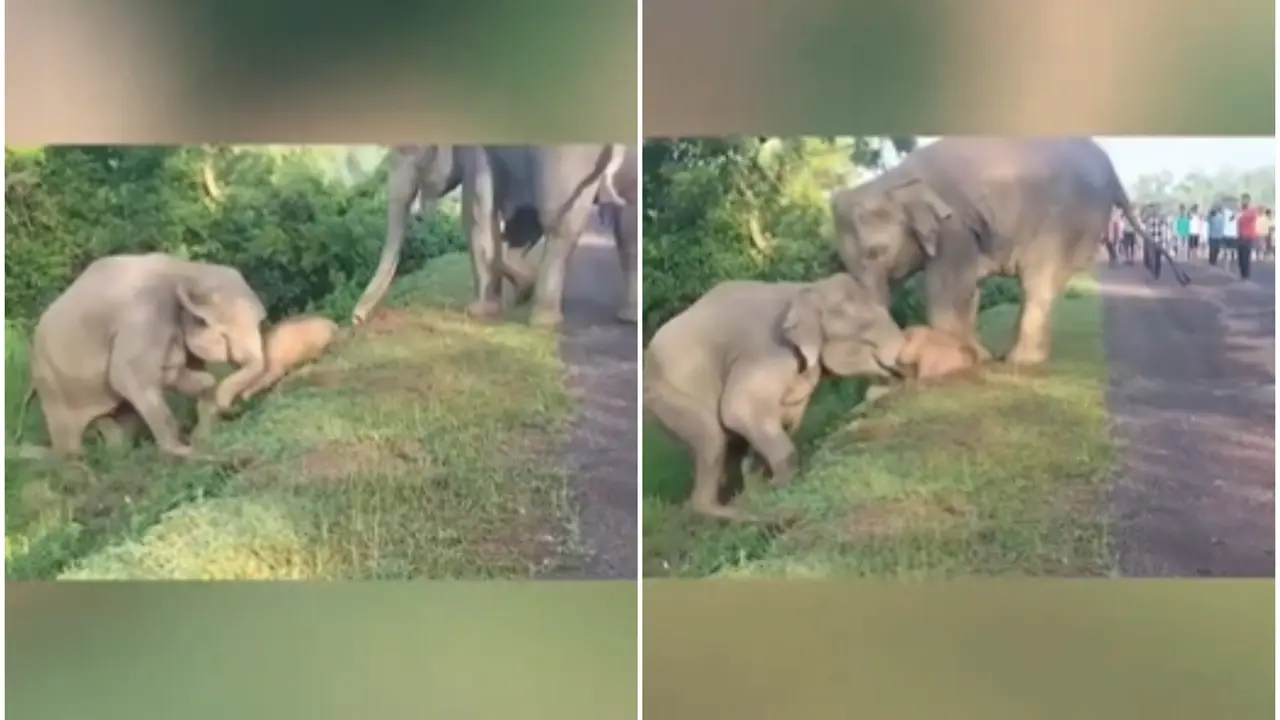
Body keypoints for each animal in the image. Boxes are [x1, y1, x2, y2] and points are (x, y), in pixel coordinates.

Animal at [24, 252, 267, 460]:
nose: (230, 406)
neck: (186, 270)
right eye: (226, 335)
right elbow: (126, 374)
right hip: (54, 386)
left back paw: (117, 452)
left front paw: (203, 436)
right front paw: (184, 451)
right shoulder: (143, 318)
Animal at [351, 144, 638, 329]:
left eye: (407, 149)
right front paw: (521, 290)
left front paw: (480, 311)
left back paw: (543, 322)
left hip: (568, 155)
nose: (356, 319)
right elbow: (521, 223)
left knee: (557, 223)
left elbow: (475, 215)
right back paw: (628, 317)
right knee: (629, 227)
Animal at [643, 273, 906, 522]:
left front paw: (762, 485)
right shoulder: (768, 351)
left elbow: (785, 417)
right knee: (712, 439)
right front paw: (779, 489)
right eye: (866, 328)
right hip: (670, 396)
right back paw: (747, 516)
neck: (807, 289)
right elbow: (737, 410)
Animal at [830, 137, 1189, 366]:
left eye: (876, 252)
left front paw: (957, 361)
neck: (893, 179)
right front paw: (976, 356)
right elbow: (967, 290)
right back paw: (1016, 357)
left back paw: (1021, 361)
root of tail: (1114, 174)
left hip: (1068, 219)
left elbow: (946, 288)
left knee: (1037, 281)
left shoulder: (954, 227)